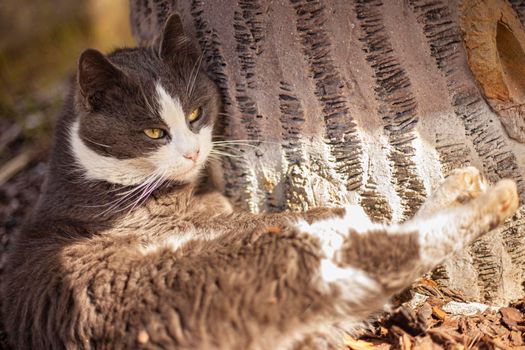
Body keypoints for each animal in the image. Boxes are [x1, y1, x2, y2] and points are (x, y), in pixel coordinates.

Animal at [1, 13, 520, 350]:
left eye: (196, 114)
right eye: (153, 133)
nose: (191, 152)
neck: (90, 175)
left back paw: (459, 186)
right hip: (267, 256)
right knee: (388, 245)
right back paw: (493, 197)